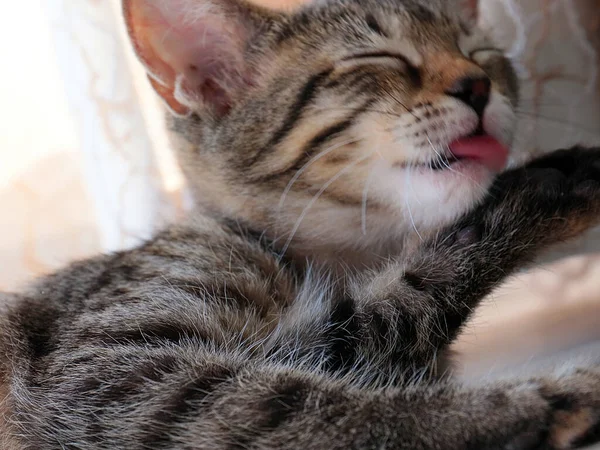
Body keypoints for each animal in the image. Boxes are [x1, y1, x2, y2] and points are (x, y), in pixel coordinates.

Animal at [1, 0, 600, 448]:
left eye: (482, 53)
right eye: (380, 57)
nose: (478, 84)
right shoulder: (111, 376)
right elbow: (337, 408)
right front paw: (561, 400)